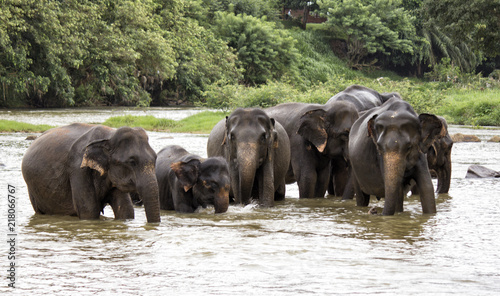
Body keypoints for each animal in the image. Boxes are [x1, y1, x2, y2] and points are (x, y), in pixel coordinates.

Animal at [21, 122, 160, 222]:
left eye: (155, 158)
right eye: (132, 162)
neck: (109, 136)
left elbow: (126, 209)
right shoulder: (77, 168)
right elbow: (88, 210)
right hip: (32, 189)